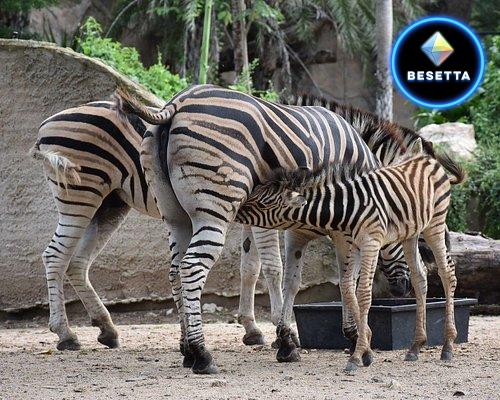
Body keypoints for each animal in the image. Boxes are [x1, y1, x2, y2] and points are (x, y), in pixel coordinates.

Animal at [115, 84, 435, 374]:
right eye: (414, 237)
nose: (403, 289)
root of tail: (176, 103)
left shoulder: (279, 222)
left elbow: (271, 273)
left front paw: (279, 337)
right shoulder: (343, 226)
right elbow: (344, 278)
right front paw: (352, 335)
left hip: (176, 216)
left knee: (175, 271)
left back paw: (186, 350)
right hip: (214, 209)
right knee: (192, 266)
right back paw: (202, 354)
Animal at [238, 143, 465, 371]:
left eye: (264, 204)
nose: (237, 210)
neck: (348, 208)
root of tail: (426, 158)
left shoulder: (370, 243)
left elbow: (363, 292)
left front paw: (357, 354)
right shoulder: (354, 245)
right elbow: (348, 287)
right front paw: (365, 348)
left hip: (435, 224)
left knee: (447, 273)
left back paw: (447, 346)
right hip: (411, 233)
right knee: (419, 278)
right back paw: (415, 347)